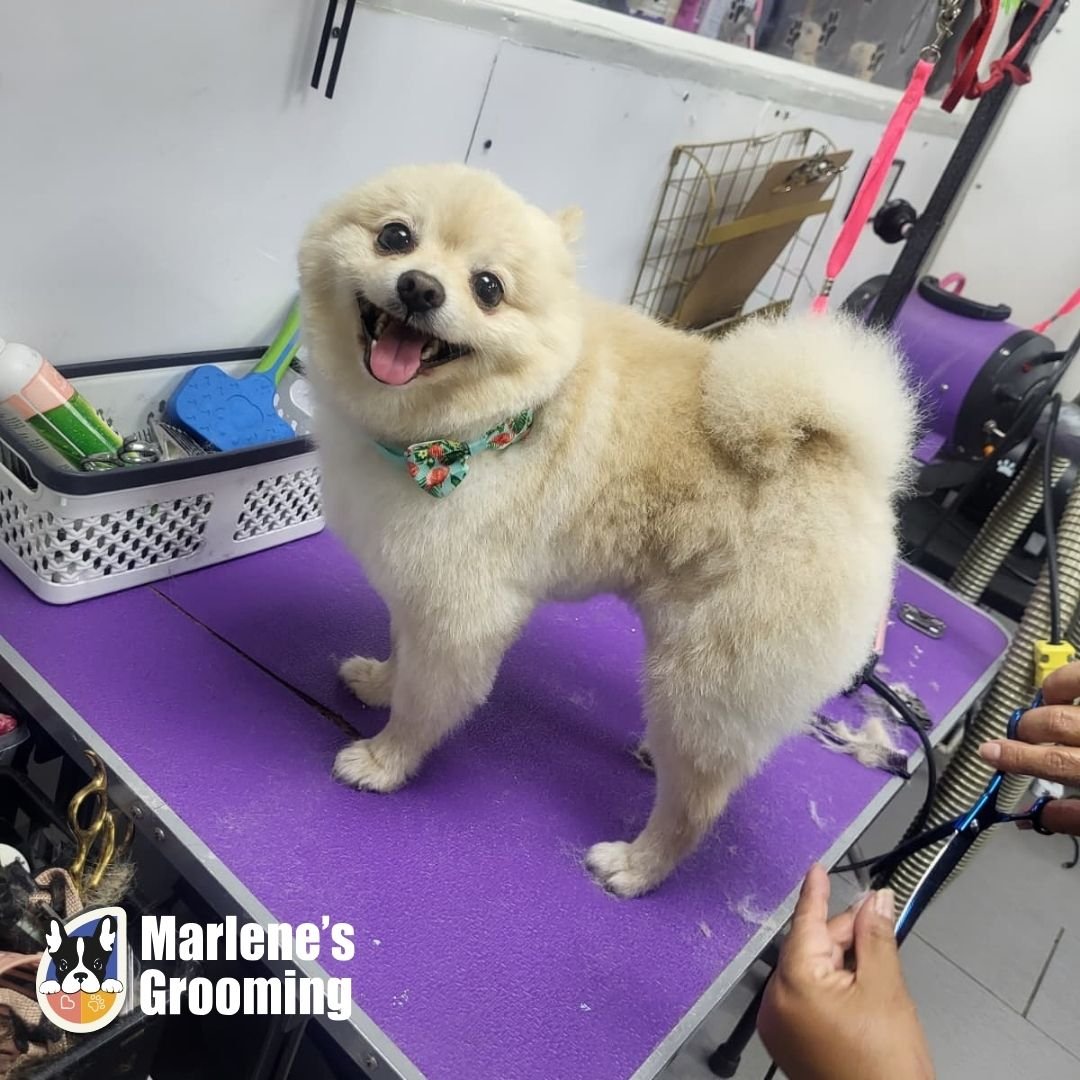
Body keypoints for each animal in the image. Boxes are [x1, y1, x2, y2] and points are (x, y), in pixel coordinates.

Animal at [299, 164, 916, 897]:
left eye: (488, 288)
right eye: (394, 237)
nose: (421, 287)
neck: (457, 432)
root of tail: (846, 459)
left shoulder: (462, 613)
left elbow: (427, 701)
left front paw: (385, 760)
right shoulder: (418, 585)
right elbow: (403, 653)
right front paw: (380, 682)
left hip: (705, 675)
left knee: (698, 804)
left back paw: (636, 865)